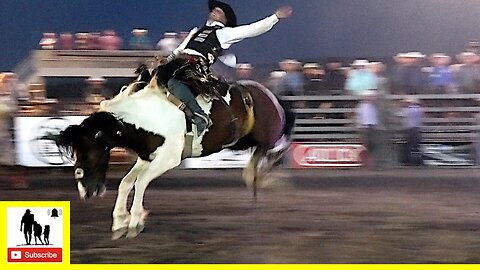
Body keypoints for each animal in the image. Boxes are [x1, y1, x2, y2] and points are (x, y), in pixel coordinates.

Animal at [58, 74, 294, 238]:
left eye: (88, 152)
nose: (85, 192)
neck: (147, 117)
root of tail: (271, 95)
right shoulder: (146, 157)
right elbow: (126, 182)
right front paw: (119, 221)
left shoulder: (168, 159)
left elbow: (140, 182)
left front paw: (135, 220)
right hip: (245, 141)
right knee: (259, 161)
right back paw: (258, 179)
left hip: (268, 136)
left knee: (277, 149)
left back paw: (266, 177)